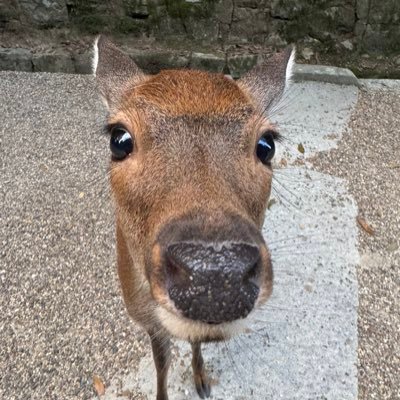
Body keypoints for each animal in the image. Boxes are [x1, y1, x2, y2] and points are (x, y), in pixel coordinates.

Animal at [93, 36, 294, 398]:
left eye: (266, 144)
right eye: (119, 139)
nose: (216, 275)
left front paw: (202, 379)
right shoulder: (145, 317)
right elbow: (161, 364)